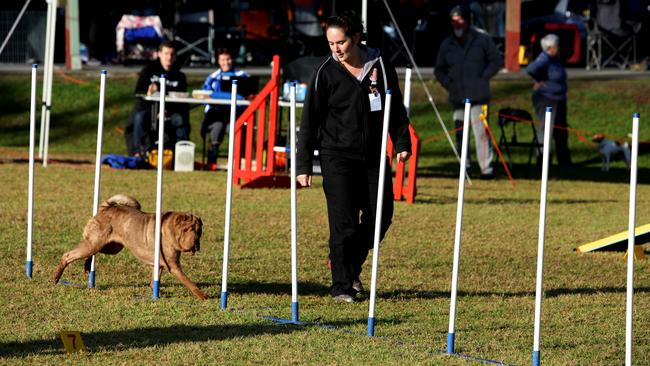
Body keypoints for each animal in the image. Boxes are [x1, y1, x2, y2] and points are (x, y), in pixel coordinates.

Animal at [52, 193, 206, 298]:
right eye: (186, 229)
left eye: (199, 231)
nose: (195, 242)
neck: (169, 230)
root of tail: (105, 208)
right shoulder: (173, 265)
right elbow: (188, 281)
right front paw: (203, 296)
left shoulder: (160, 263)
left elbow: (155, 278)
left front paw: (154, 290)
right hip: (95, 244)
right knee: (68, 255)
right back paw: (56, 278)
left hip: (110, 247)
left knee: (91, 253)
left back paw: (86, 267)